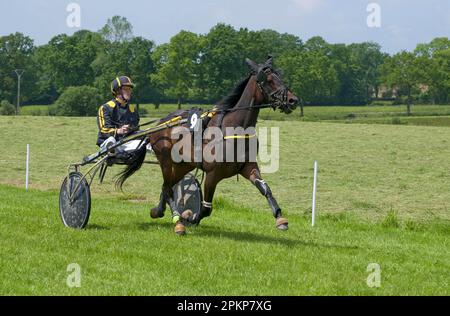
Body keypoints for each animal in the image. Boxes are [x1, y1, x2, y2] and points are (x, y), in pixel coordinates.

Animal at [116, 56, 298, 235]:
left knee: (167, 186)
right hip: (166, 160)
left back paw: (158, 211)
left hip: (184, 164)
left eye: (280, 77)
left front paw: (280, 218)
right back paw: (178, 222)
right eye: (269, 80)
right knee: (168, 188)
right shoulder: (212, 174)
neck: (233, 129)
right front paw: (189, 218)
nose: (293, 100)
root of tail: (162, 122)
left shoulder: (248, 166)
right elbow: (206, 208)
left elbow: (265, 188)